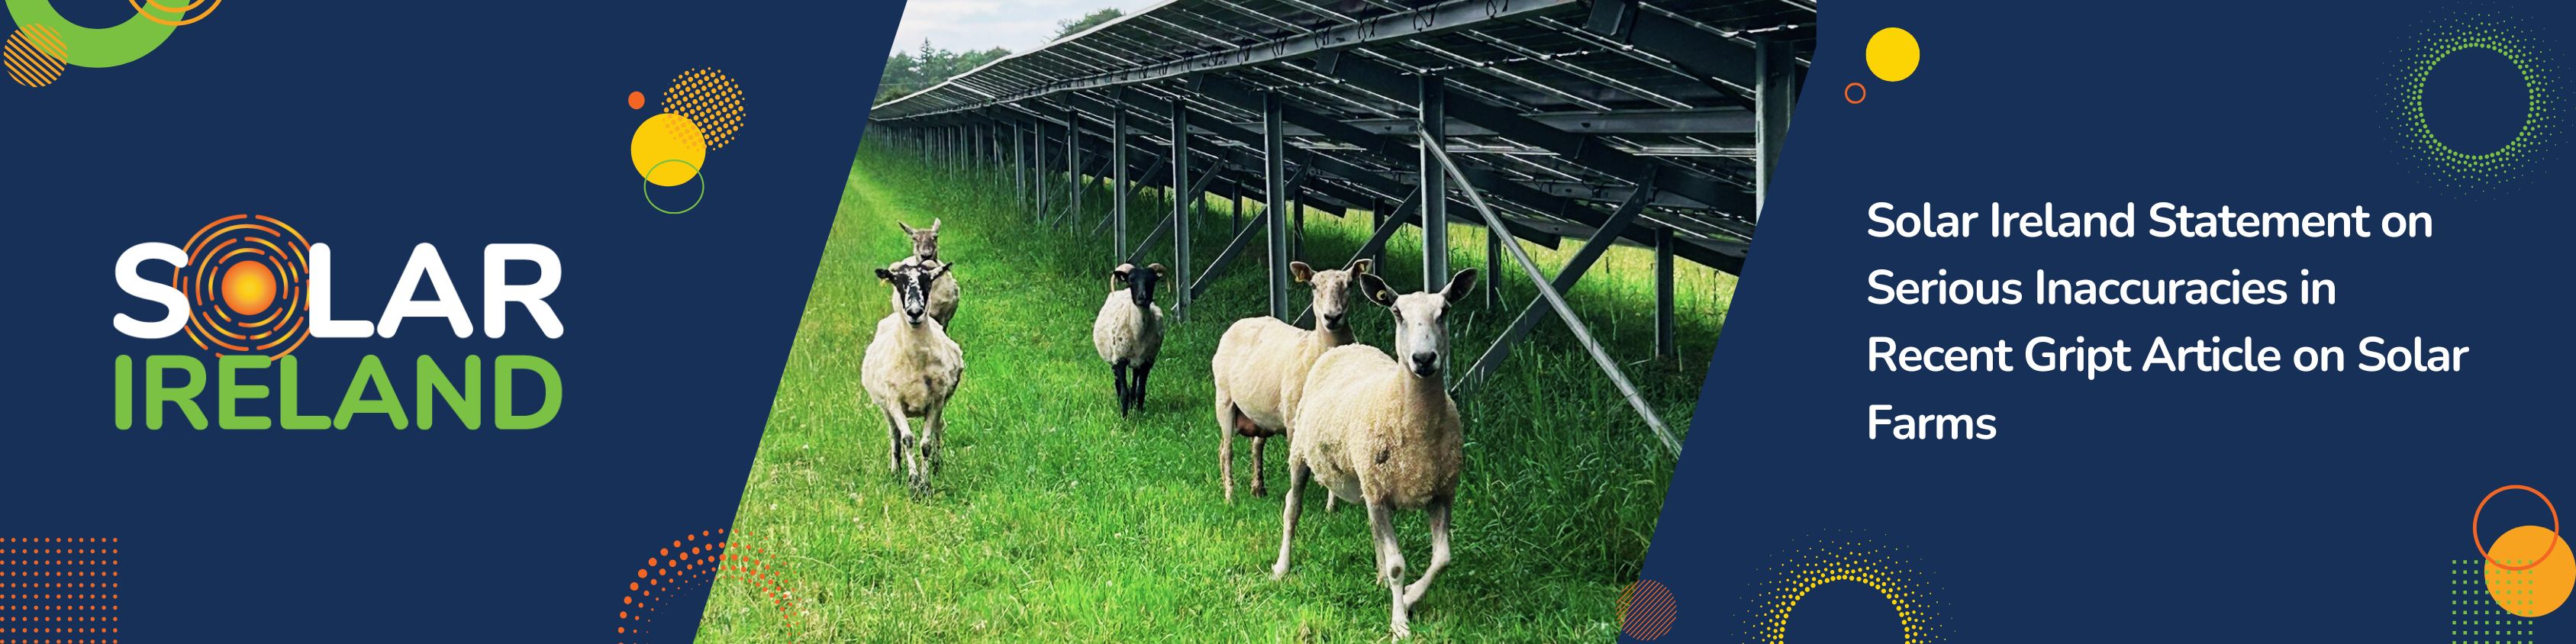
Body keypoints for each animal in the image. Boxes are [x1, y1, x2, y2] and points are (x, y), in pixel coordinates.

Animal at [862, 258, 964, 495]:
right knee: (895, 435)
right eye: (896, 282)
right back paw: (895, 470)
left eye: (928, 281)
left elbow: (925, 444)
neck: (915, 362)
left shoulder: (936, 401)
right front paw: (913, 481)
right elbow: (907, 439)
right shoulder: (894, 402)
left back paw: (937, 464)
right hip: (885, 408)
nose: (915, 312)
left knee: (938, 428)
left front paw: (926, 484)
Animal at [1092, 263, 1168, 416]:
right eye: (1131, 280)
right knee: (1118, 382)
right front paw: (1124, 416)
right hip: (1113, 357)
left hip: (1137, 361)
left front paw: (1140, 413)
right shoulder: (1119, 360)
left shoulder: (1147, 361)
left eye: (1152, 280)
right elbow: (1124, 393)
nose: (1143, 298)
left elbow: (1141, 391)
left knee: (1134, 379)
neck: (1138, 334)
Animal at [1209, 258, 1373, 503]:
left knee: (1256, 444)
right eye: (1313, 286)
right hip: (1225, 399)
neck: (1315, 348)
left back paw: (1258, 489)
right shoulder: (1293, 421)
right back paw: (1230, 497)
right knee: (1225, 450)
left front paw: (1332, 507)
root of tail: (1241, 321)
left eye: (1351, 284)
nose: (1332, 317)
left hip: (1261, 412)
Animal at [1270, 269, 1478, 640]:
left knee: (1373, 528)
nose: (1424, 359)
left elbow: (1442, 558)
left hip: (1367, 478)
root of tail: (1348, 347)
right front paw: (1400, 622)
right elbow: (1398, 564)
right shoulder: (1381, 494)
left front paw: (1408, 596)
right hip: (1302, 454)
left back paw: (1380, 578)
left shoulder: (1441, 492)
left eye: (1444, 311)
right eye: (1397, 313)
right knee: (1292, 508)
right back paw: (1282, 566)